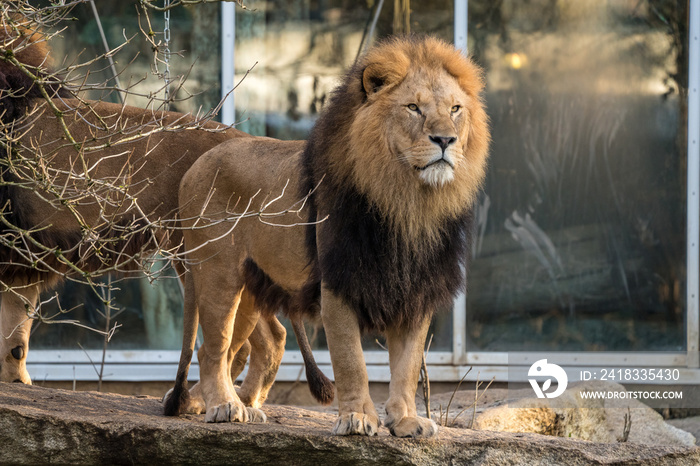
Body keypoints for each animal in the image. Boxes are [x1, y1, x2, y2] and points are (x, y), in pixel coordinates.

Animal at [0, 22, 328, 408]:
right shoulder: (19, 257)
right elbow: (15, 338)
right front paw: (16, 383)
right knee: (269, 337)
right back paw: (246, 401)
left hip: (201, 257)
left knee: (237, 340)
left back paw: (201, 401)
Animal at [167, 36, 490, 436]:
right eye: (413, 108)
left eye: (456, 109)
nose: (445, 139)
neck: (408, 203)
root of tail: (196, 165)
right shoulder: (339, 282)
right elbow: (352, 360)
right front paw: (357, 418)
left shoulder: (415, 290)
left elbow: (408, 365)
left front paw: (405, 420)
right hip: (217, 276)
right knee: (213, 347)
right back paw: (224, 406)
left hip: (252, 287)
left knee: (249, 346)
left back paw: (247, 406)